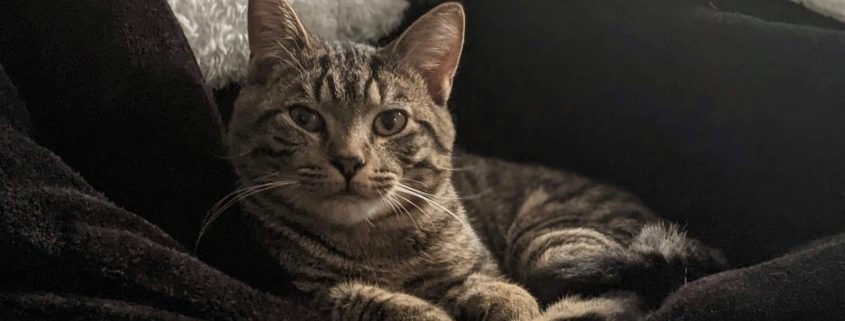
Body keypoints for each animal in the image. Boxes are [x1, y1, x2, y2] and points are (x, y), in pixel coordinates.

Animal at [224, 1, 724, 318]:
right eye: (304, 117)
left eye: (390, 122)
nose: (349, 160)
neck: (374, 242)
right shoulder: (309, 291)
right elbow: (381, 303)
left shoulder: (484, 268)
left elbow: (502, 292)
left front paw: (504, 303)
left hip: (556, 241)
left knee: (617, 298)